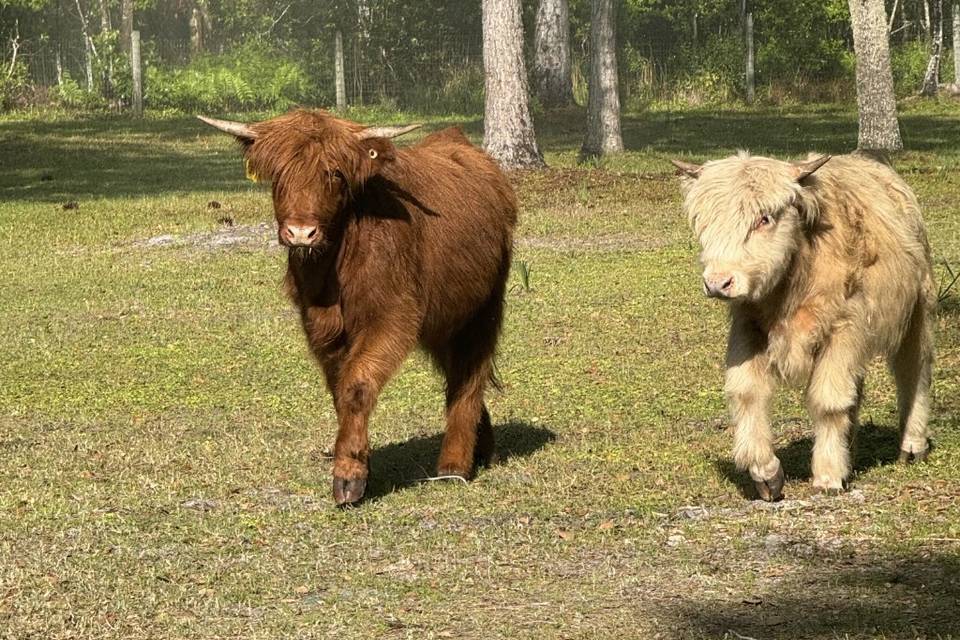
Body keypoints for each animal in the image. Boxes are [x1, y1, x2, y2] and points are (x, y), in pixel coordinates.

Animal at [199, 110, 517, 506]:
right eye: (279, 173)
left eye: (334, 174)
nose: (301, 233)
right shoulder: (319, 325)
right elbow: (339, 388)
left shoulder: (392, 316)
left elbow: (356, 385)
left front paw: (349, 477)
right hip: (446, 316)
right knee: (457, 371)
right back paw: (483, 448)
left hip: (484, 307)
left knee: (471, 373)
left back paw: (454, 466)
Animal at [672, 152, 935, 501]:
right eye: (705, 220)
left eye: (764, 218)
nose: (718, 282)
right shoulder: (748, 328)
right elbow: (746, 392)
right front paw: (766, 473)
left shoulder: (844, 328)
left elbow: (828, 400)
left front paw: (828, 475)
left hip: (917, 311)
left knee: (913, 369)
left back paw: (912, 445)